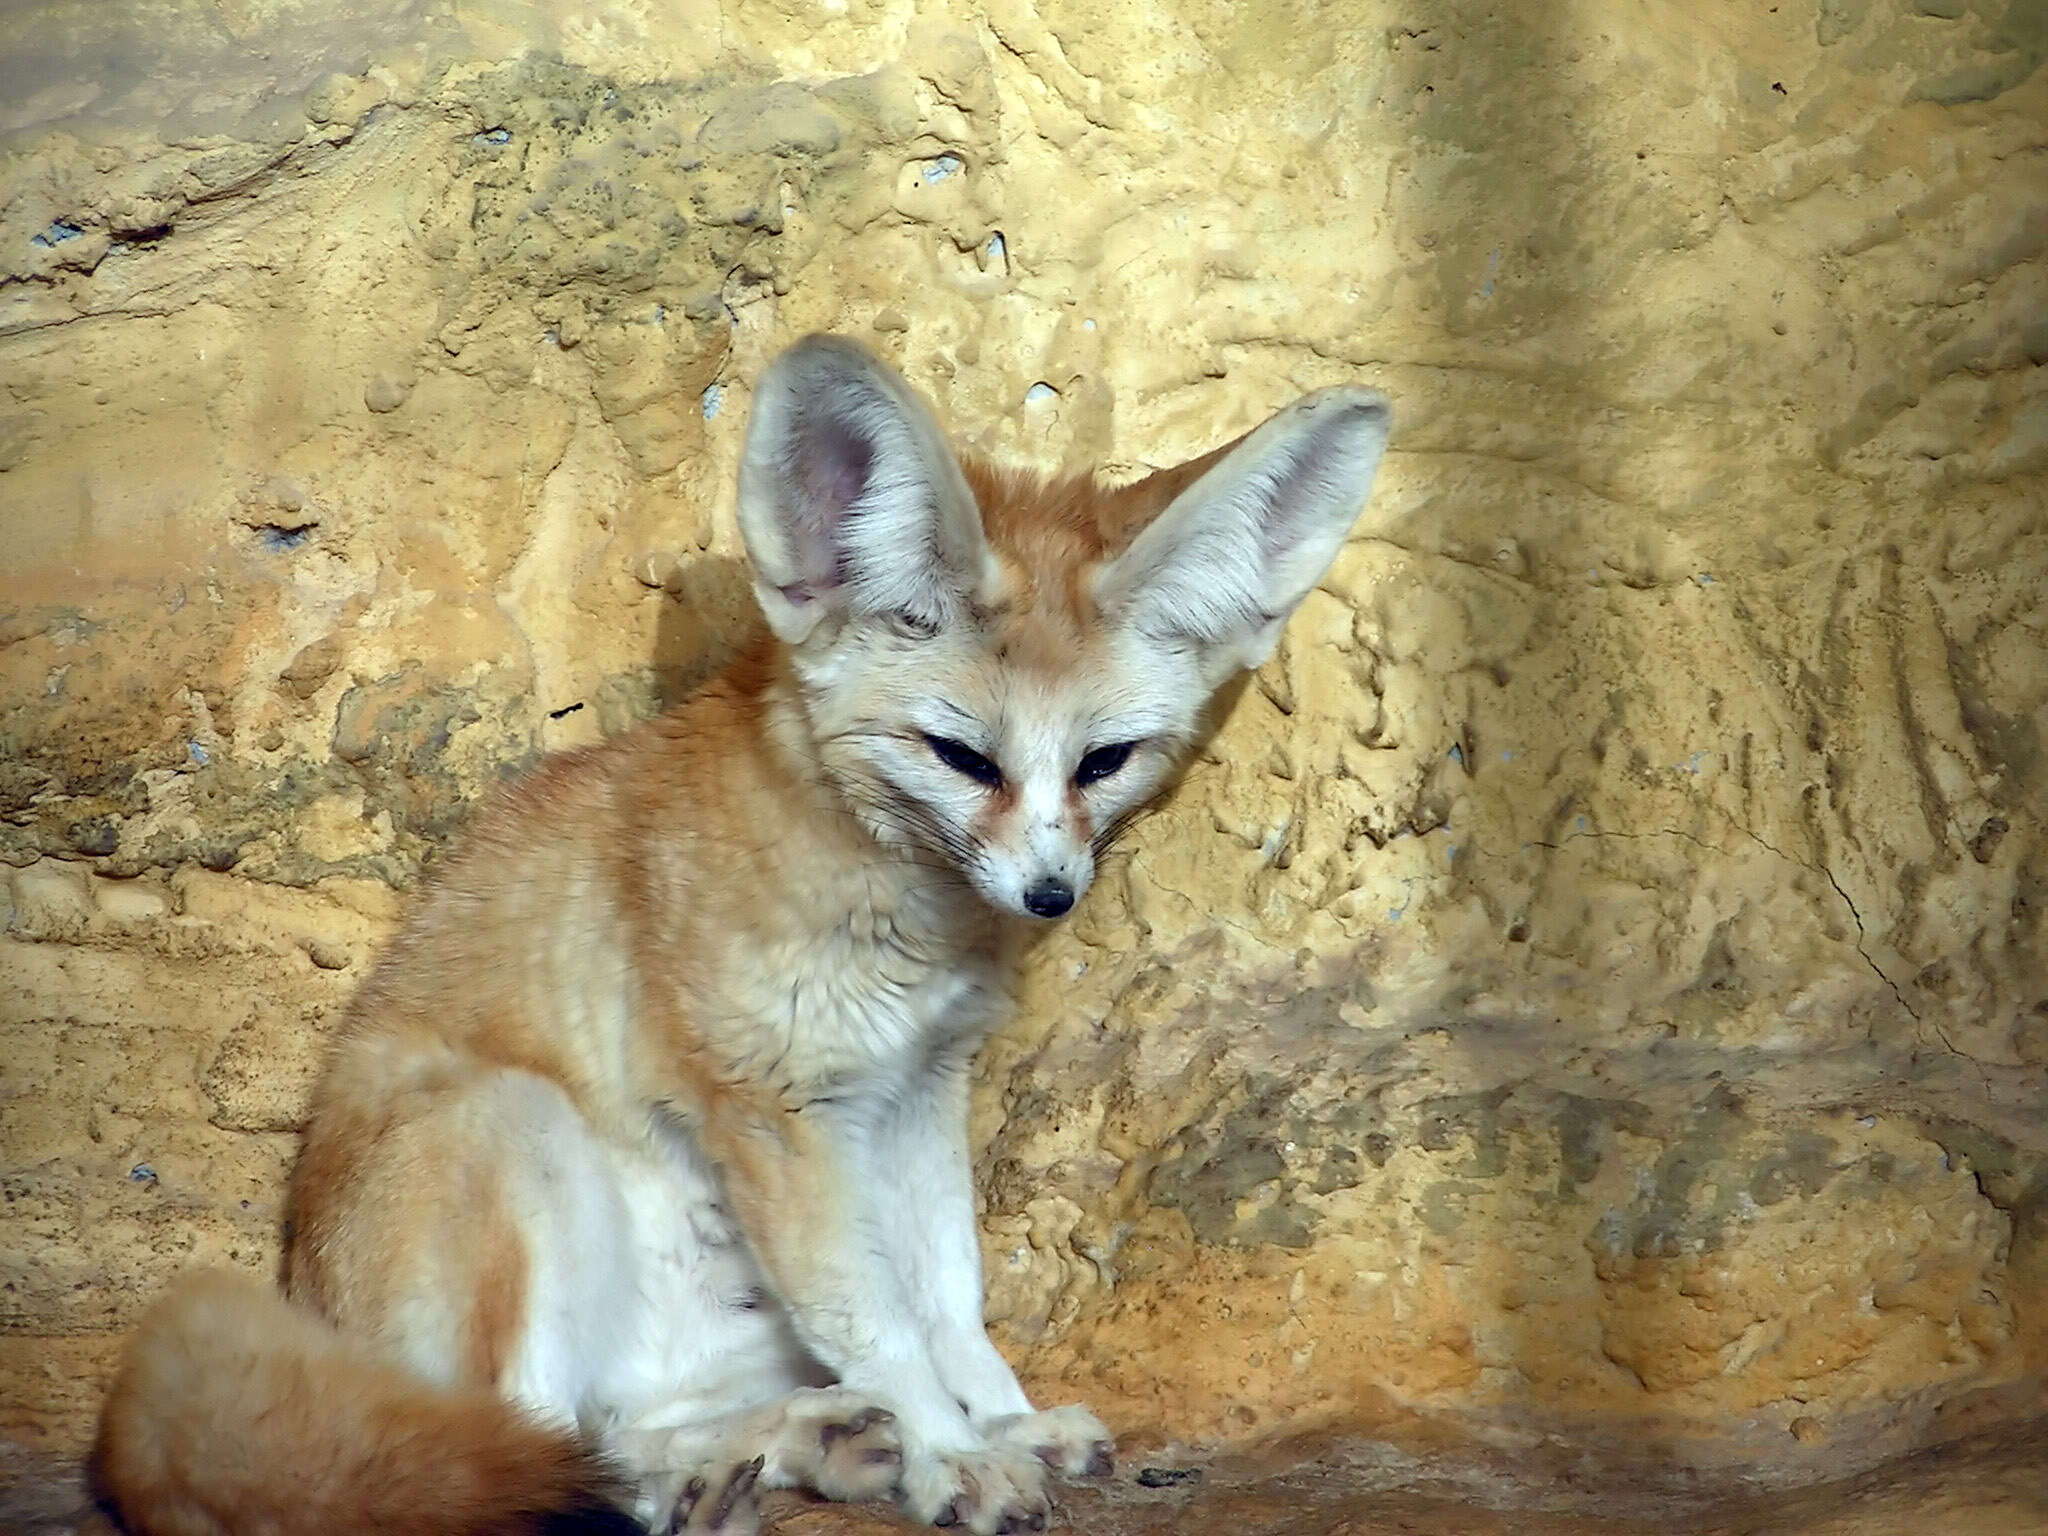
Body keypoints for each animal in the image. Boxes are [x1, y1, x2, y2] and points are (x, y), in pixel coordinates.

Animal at [92, 335, 1392, 1536]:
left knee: (614, 1425)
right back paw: (714, 1477)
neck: (895, 912)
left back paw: (791, 1445)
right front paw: (953, 1455)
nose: (1049, 895)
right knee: (522, 1449)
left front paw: (997, 1420)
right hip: (514, 1131)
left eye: (1102, 762)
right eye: (961, 758)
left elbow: (947, 1298)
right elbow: (881, 1323)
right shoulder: (777, 1113)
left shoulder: (918, 1089)